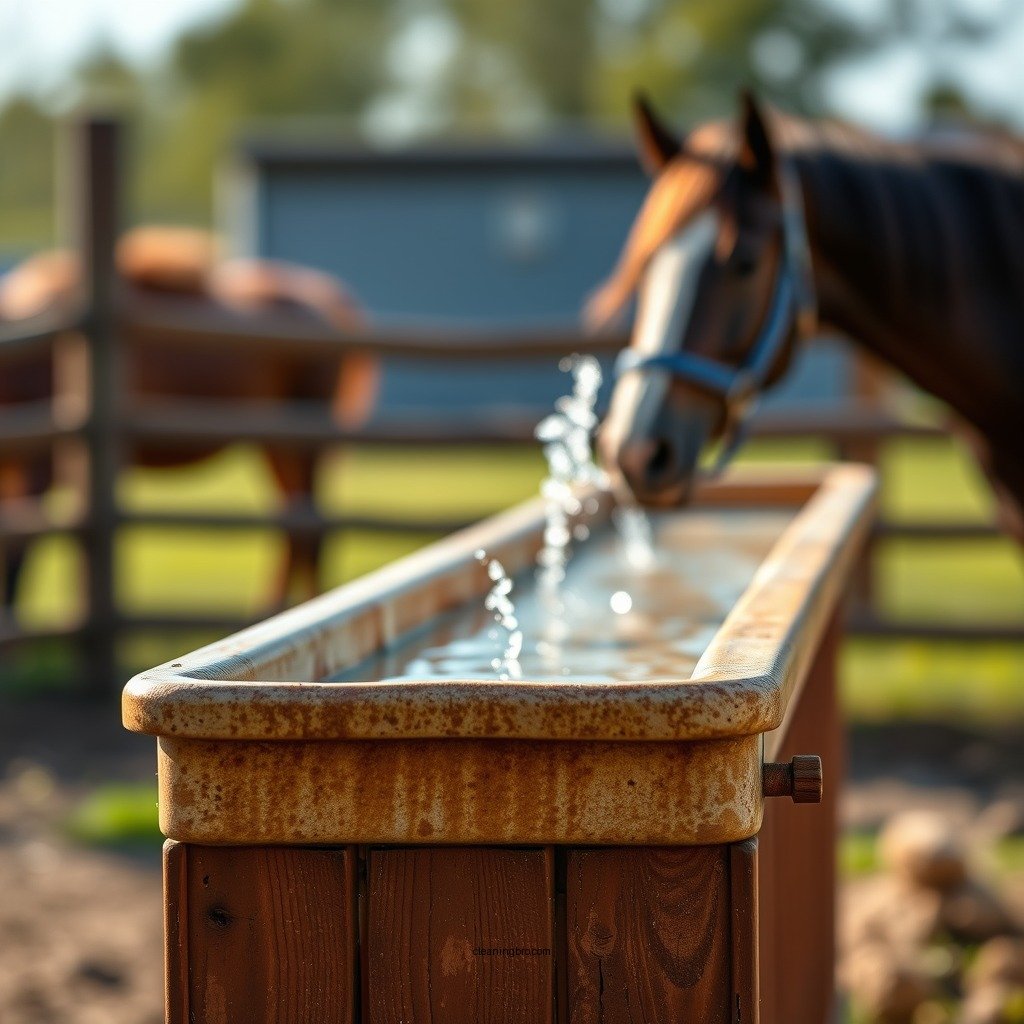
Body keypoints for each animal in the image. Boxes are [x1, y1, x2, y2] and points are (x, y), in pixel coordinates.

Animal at [0, 226, 380, 616]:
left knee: (309, 533)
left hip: (303, 441)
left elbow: (19, 554)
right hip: (275, 445)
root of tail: (321, 302)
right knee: (293, 529)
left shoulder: (39, 466)